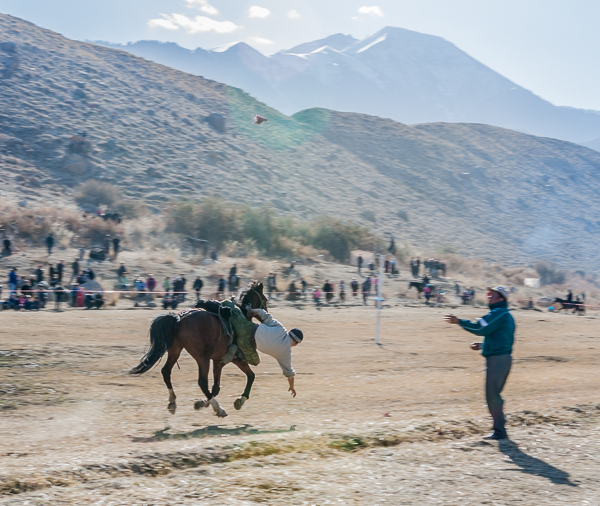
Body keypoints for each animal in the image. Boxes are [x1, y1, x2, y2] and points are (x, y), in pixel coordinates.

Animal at [131, 278, 268, 418]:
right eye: (265, 299)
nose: (266, 313)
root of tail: (178, 319)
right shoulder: (234, 358)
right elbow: (251, 376)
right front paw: (239, 400)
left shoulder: (218, 361)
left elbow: (216, 387)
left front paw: (201, 403)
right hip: (202, 357)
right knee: (202, 381)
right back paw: (219, 408)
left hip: (175, 350)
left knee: (166, 371)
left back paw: (173, 402)